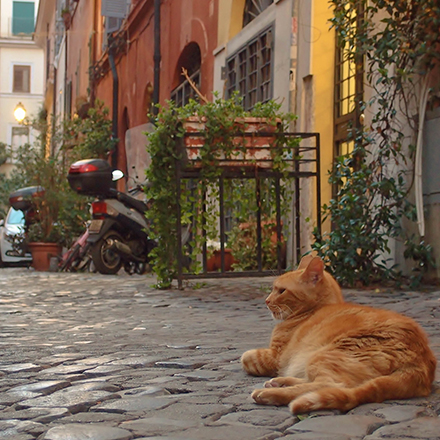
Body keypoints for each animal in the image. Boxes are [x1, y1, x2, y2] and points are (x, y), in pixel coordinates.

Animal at [241, 256, 436, 414]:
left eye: (281, 291)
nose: (266, 301)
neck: (313, 310)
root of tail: (422, 361)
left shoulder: (276, 356)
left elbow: (245, 358)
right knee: (312, 381)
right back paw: (280, 382)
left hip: (324, 354)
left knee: (328, 385)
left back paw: (270, 393)